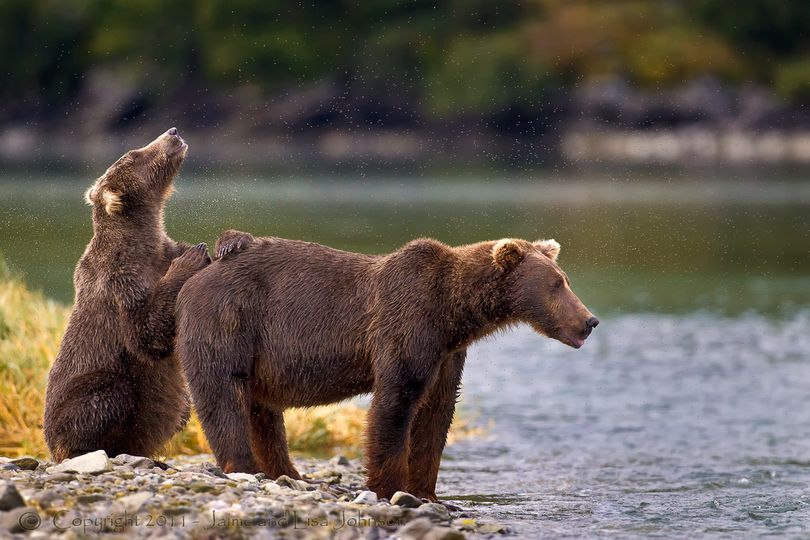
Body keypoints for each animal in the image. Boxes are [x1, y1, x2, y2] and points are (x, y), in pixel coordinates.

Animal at [44, 129, 211, 462]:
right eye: (134, 154)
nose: (172, 132)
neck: (142, 243)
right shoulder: (120, 282)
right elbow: (144, 334)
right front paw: (194, 258)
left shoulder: (162, 251)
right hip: (77, 398)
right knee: (113, 393)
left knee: (181, 408)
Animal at [177, 234, 596, 500]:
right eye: (556, 284)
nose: (589, 320)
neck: (455, 312)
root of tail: (198, 275)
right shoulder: (408, 324)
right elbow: (396, 403)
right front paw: (389, 487)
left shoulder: (447, 353)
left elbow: (437, 414)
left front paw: (428, 492)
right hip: (230, 318)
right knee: (223, 394)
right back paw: (244, 465)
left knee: (261, 409)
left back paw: (287, 473)